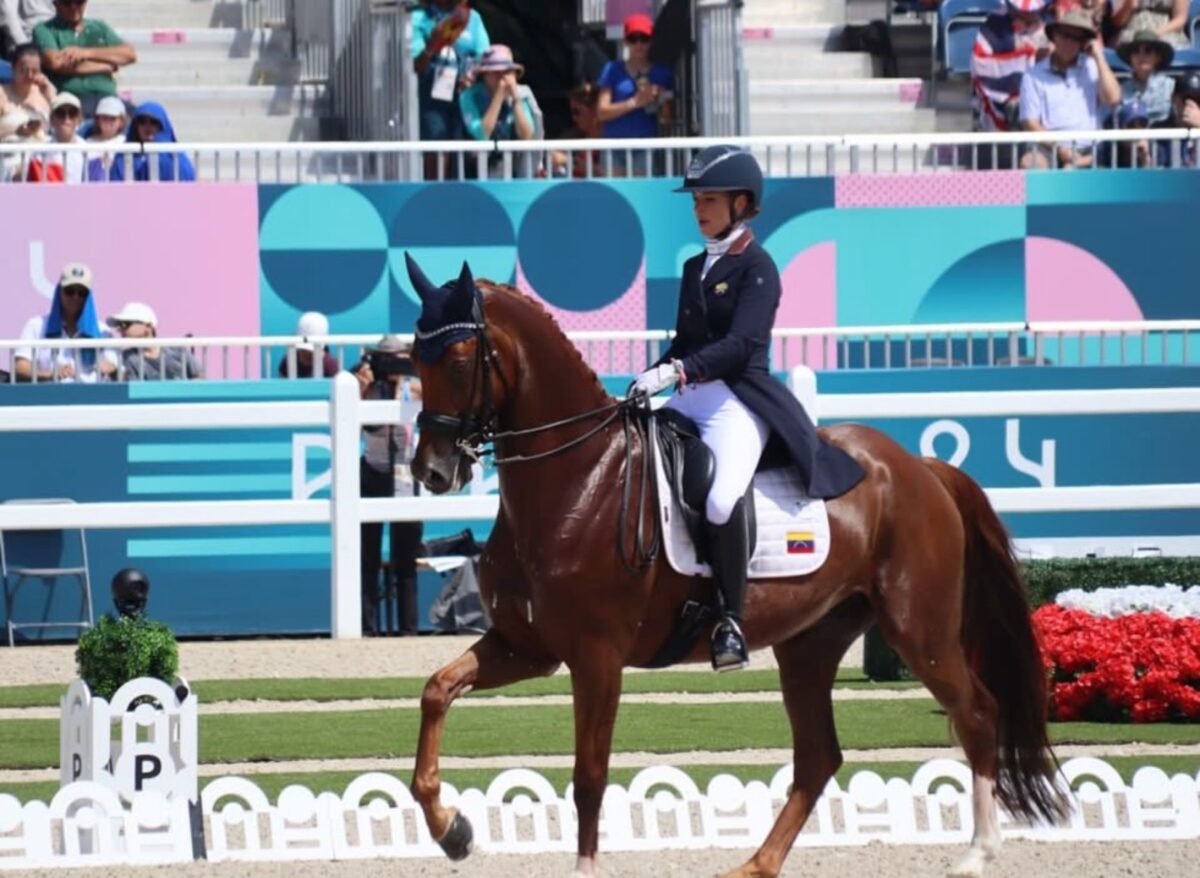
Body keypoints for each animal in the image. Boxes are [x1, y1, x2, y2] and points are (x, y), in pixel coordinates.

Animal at [408, 262, 1065, 878]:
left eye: (460, 361)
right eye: (415, 357)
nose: (431, 472)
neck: (580, 477)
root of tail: (919, 467)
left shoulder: (596, 657)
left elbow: (590, 773)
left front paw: (582, 868)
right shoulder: (527, 646)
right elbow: (436, 690)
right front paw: (451, 830)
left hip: (919, 629)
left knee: (976, 713)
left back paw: (976, 853)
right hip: (811, 642)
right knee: (819, 756)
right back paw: (757, 863)